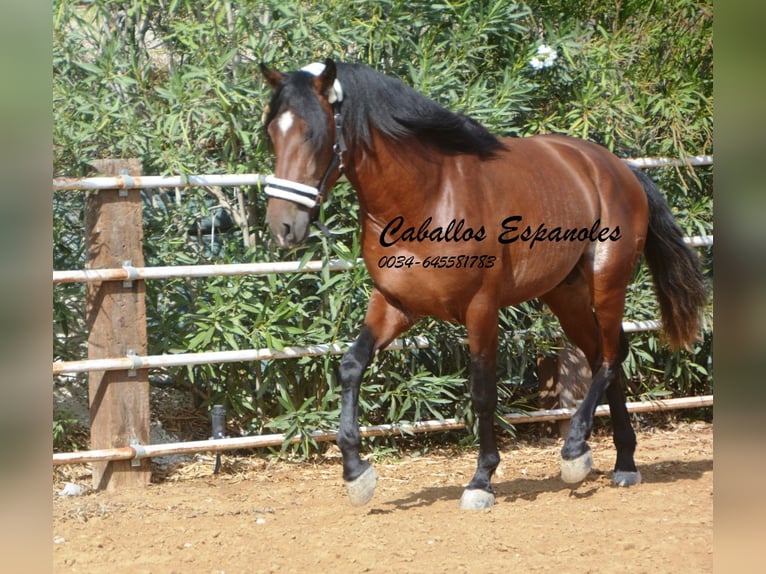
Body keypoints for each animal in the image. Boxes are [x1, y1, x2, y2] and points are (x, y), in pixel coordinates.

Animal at [260, 59, 708, 512]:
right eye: (272, 133)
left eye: (313, 134)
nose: (283, 227)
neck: (427, 196)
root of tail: (618, 168)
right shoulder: (395, 303)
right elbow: (351, 366)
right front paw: (357, 473)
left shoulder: (481, 309)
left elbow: (481, 392)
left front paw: (481, 481)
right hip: (566, 294)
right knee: (605, 354)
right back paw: (621, 461)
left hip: (608, 281)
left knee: (611, 357)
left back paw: (575, 450)